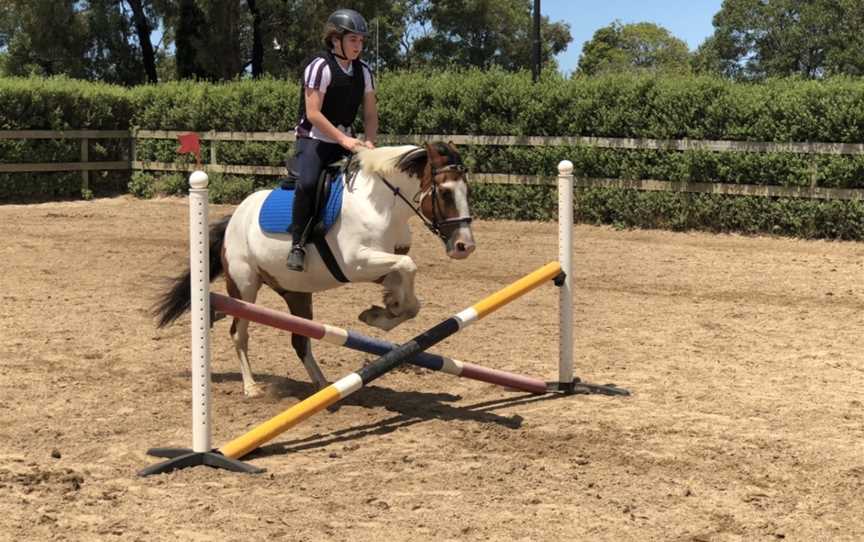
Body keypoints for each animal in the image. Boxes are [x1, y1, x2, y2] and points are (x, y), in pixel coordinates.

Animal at [156, 143, 480, 400]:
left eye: (467, 190)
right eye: (445, 192)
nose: (464, 246)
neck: (382, 206)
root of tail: (235, 217)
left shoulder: (379, 265)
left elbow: (409, 293)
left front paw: (383, 311)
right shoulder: (356, 263)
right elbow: (409, 266)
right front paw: (384, 311)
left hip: (296, 292)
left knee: (300, 339)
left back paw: (323, 385)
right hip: (244, 287)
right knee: (239, 332)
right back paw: (252, 387)